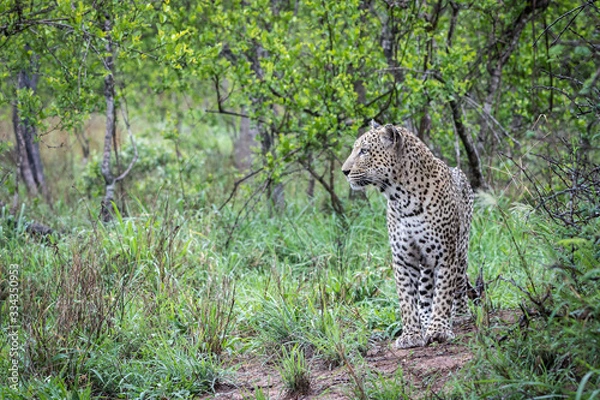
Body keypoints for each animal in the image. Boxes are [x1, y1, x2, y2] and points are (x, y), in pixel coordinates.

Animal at [342, 120, 474, 348]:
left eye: (364, 151)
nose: (344, 171)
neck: (402, 198)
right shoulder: (403, 257)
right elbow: (407, 299)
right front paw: (411, 335)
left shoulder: (445, 254)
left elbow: (443, 293)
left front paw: (438, 330)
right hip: (426, 263)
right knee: (425, 292)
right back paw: (425, 321)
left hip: (461, 249)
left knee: (458, 282)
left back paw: (459, 315)